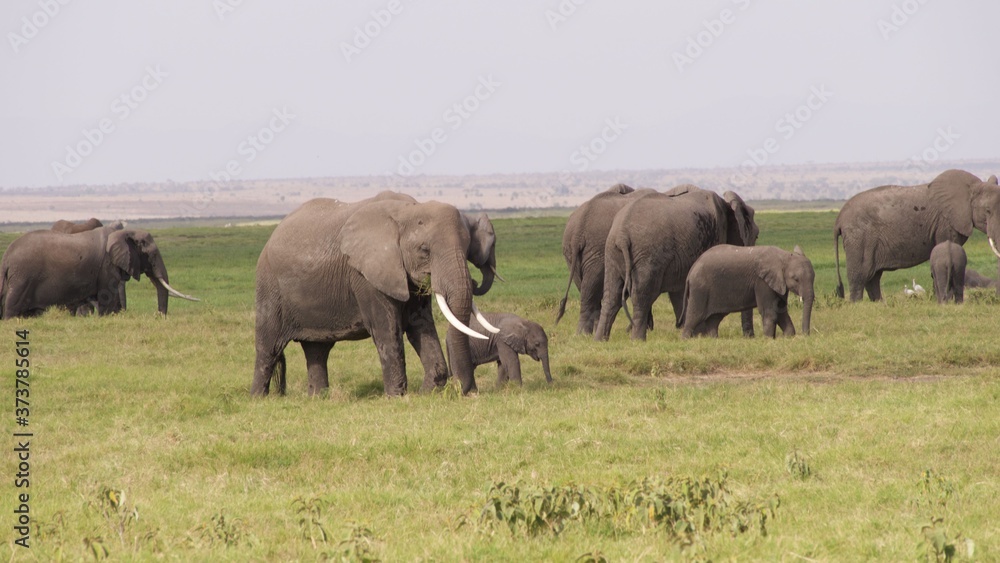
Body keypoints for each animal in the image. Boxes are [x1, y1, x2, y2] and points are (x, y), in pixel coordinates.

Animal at [592, 187, 756, 342]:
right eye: (756, 236)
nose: (750, 337)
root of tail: (622, 235)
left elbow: (681, 291)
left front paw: (694, 335)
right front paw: (699, 336)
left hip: (613, 252)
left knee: (612, 294)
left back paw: (601, 340)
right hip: (648, 255)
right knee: (642, 295)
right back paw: (637, 341)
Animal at [680, 243, 812, 340]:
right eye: (796, 279)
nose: (806, 336)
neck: (784, 256)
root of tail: (691, 270)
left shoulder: (778, 283)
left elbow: (780, 310)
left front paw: (788, 337)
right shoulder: (761, 282)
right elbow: (769, 311)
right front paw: (768, 340)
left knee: (714, 318)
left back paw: (714, 340)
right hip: (700, 289)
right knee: (694, 316)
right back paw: (685, 339)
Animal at [832, 171, 1000, 304]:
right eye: (987, 211)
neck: (973, 187)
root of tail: (839, 218)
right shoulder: (945, 223)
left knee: (873, 277)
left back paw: (879, 304)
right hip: (859, 237)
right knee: (860, 275)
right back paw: (857, 305)